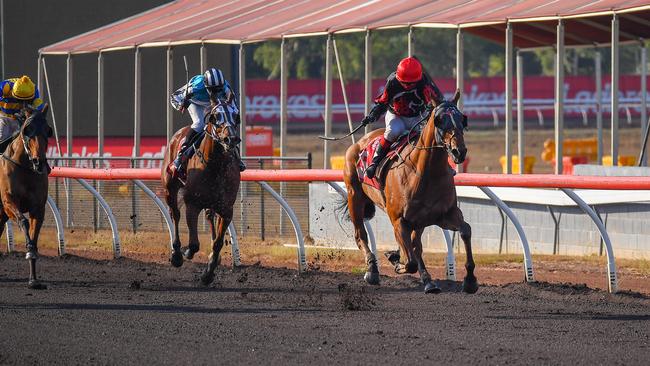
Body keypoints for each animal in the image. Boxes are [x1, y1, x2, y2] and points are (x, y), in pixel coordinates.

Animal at [0, 105, 52, 288]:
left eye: (48, 130)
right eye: (27, 130)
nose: (39, 162)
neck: (24, 167)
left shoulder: (38, 208)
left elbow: (34, 234)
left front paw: (33, 279)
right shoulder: (8, 202)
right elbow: (23, 221)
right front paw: (28, 250)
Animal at [161, 104, 240, 284]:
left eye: (236, 116)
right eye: (215, 117)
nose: (231, 139)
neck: (215, 165)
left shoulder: (226, 209)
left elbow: (218, 243)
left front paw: (208, 273)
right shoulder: (192, 204)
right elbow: (194, 244)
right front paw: (186, 252)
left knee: (210, 216)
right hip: (170, 187)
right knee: (175, 214)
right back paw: (176, 254)